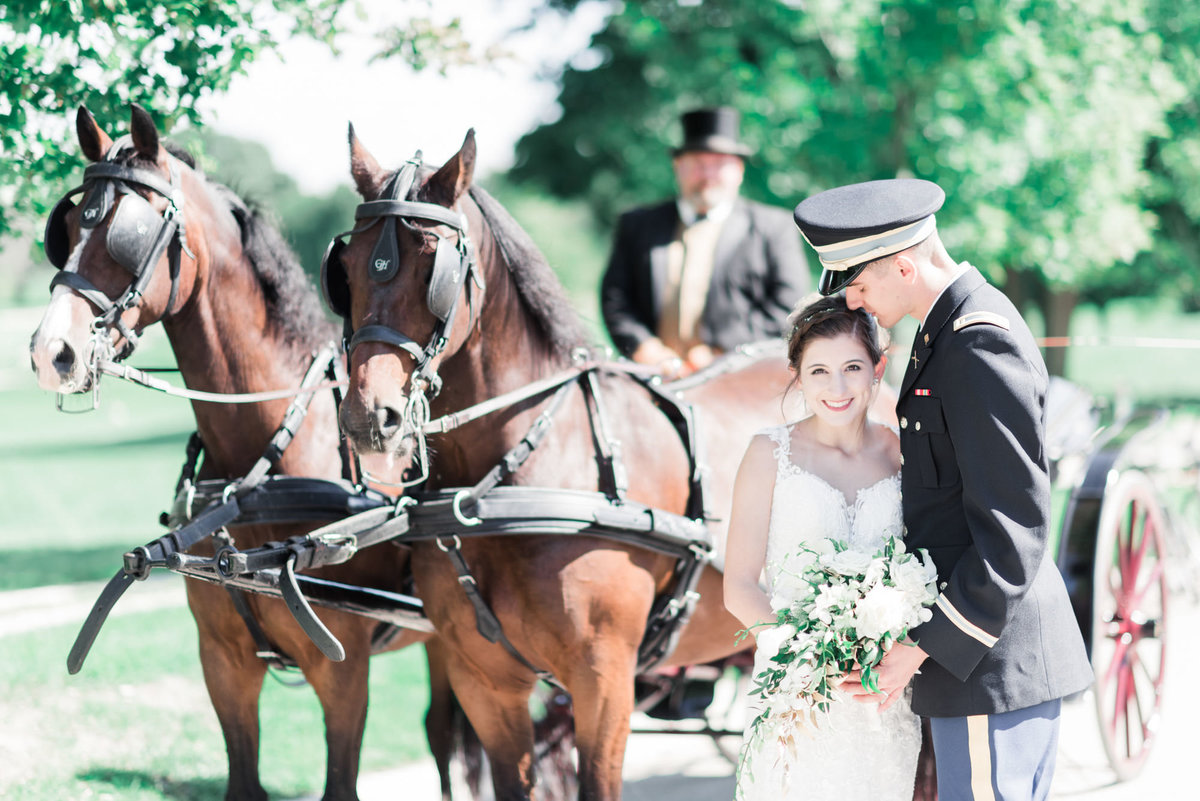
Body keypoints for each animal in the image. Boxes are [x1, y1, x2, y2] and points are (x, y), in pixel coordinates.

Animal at [27, 106, 451, 801]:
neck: (255, 478)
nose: (50, 352)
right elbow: (242, 776)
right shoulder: (223, 666)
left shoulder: (345, 674)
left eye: (129, 234)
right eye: (66, 228)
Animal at [328, 128, 811, 796]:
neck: (502, 491)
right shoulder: (483, 679)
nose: (369, 418)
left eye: (435, 267)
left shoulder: (603, 681)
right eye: (345, 269)